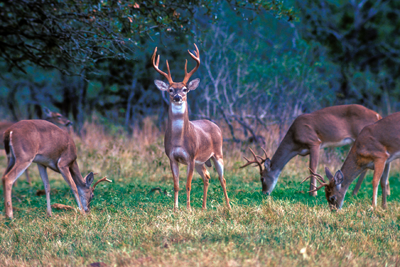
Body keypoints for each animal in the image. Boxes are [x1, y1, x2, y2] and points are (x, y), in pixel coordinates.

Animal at [151, 43, 231, 211]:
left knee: (222, 179)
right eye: (170, 89)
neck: (179, 140)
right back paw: (203, 207)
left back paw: (228, 206)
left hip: (218, 153)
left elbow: (188, 185)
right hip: (201, 162)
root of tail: (215, 125)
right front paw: (175, 209)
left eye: (185, 89)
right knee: (207, 177)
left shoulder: (191, 157)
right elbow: (176, 185)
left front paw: (187, 209)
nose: (177, 97)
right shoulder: (172, 157)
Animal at [239, 104, 380, 197]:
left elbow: (312, 167)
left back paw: (354, 192)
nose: (264, 193)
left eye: (262, 178)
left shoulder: (314, 142)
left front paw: (313, 193)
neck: (295, 141)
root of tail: (377, 115)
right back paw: (356, 192)